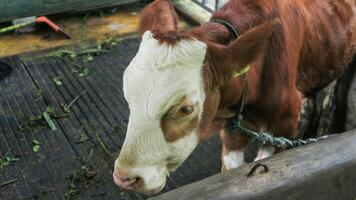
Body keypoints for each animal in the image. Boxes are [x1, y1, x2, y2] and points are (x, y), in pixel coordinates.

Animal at [113, 0, 356, 195]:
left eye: (186, 109)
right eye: (127, 95)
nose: (125, 178)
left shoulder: (282, 126)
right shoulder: (232, 128)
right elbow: (231, 170)